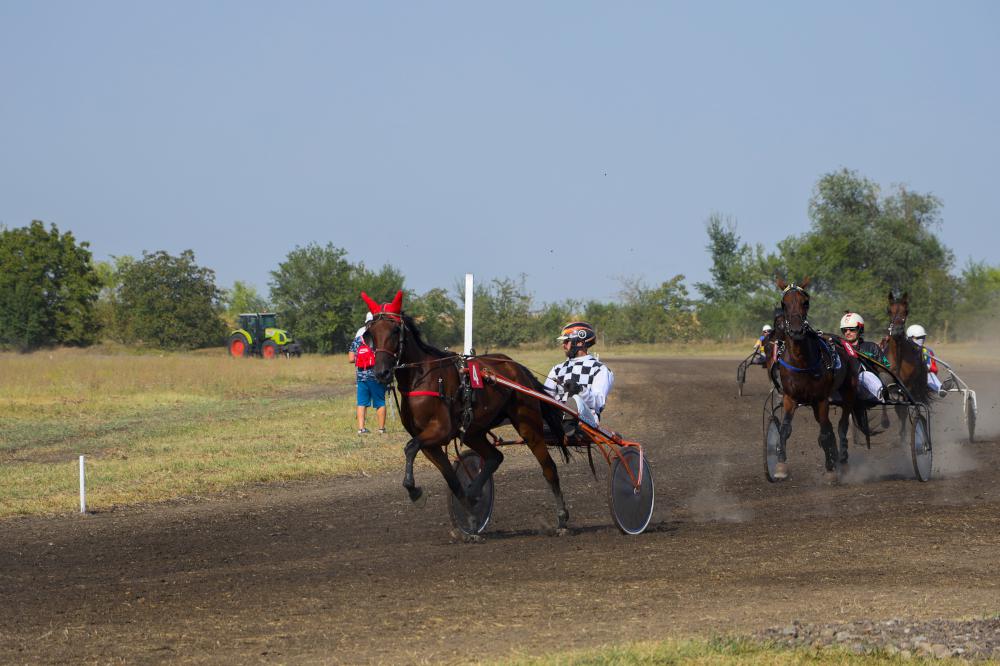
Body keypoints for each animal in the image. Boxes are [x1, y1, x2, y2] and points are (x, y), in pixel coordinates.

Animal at [364, 290, 576, 528]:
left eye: (394, 330)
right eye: (370, 334)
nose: (381, 372)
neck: (422, 378)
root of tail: (517, 367)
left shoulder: (441, 431)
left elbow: (410, 447)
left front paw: (415, 491)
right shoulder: (430, 443)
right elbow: (451, 477)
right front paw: (469, 505)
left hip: (528, 423)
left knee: (548, 467)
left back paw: (562, 516)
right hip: (475, 430)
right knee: (495, 457)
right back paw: (475, 489)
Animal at [772, 276, 860, 478]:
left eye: (806, 302)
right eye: (784, 303)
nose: (796, 331)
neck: (801, 362)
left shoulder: (821, 399)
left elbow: (825, 433)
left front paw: (831, 468)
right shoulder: (790, 397)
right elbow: (785, 429)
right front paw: (780, 465)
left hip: (848, 393)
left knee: (841, 425)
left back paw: (842, 461)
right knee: (828, 425)